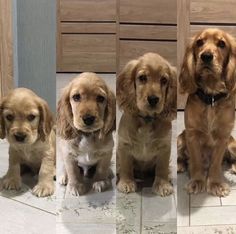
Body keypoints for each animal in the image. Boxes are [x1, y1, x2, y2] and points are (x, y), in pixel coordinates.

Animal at [117, 52, 176, 196]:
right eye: (142, 78)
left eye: (164, 80)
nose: (153, 99)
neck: (147, 120)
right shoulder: (124, 146)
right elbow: (126, 166)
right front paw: (126, 182)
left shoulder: (164, 147)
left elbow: (162, 168)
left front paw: (162, 185)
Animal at [178, 28, 236, 197]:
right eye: (199, 42)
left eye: (222, 44)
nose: (206, 56)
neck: (211, 96)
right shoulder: (192, 135)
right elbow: (196, 161)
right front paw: (197, 181)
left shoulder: (223, 137)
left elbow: (216, 163)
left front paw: (216, 183)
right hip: (180, 139)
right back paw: (180, 165)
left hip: (233, 144)